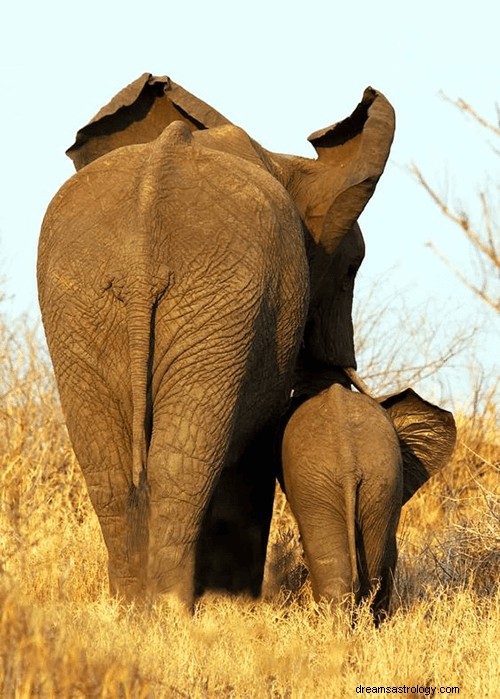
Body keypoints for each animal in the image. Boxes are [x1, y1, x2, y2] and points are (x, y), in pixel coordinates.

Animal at [39, 74, 394, 604]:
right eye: (352, 269)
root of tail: (142, 251)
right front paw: (236, 601)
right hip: (205, 300)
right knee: (182, 459)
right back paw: (168, 607)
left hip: (93, 300)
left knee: (111, 462)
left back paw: (133, 606)